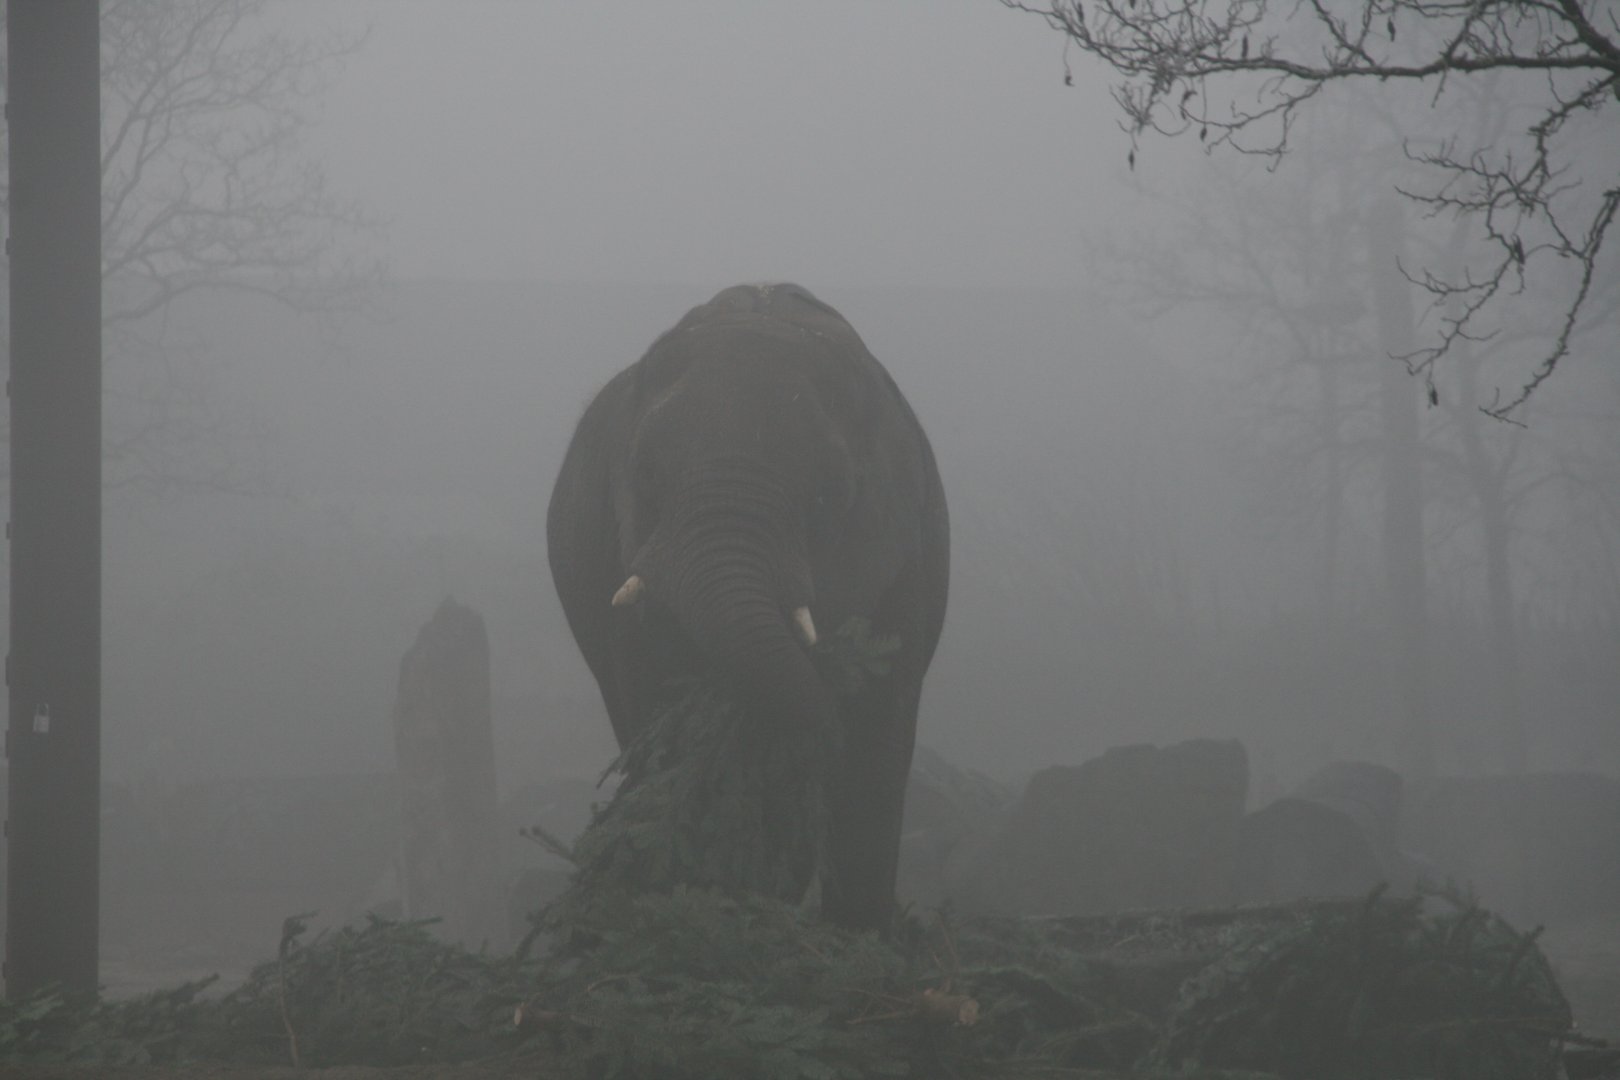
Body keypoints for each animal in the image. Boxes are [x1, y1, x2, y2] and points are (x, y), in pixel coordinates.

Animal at [547, 283, 949, 931]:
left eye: (829, 492)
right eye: (645, 473)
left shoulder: (908, 561)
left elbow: (880, 725)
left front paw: (859, 931)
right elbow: (655, 700)